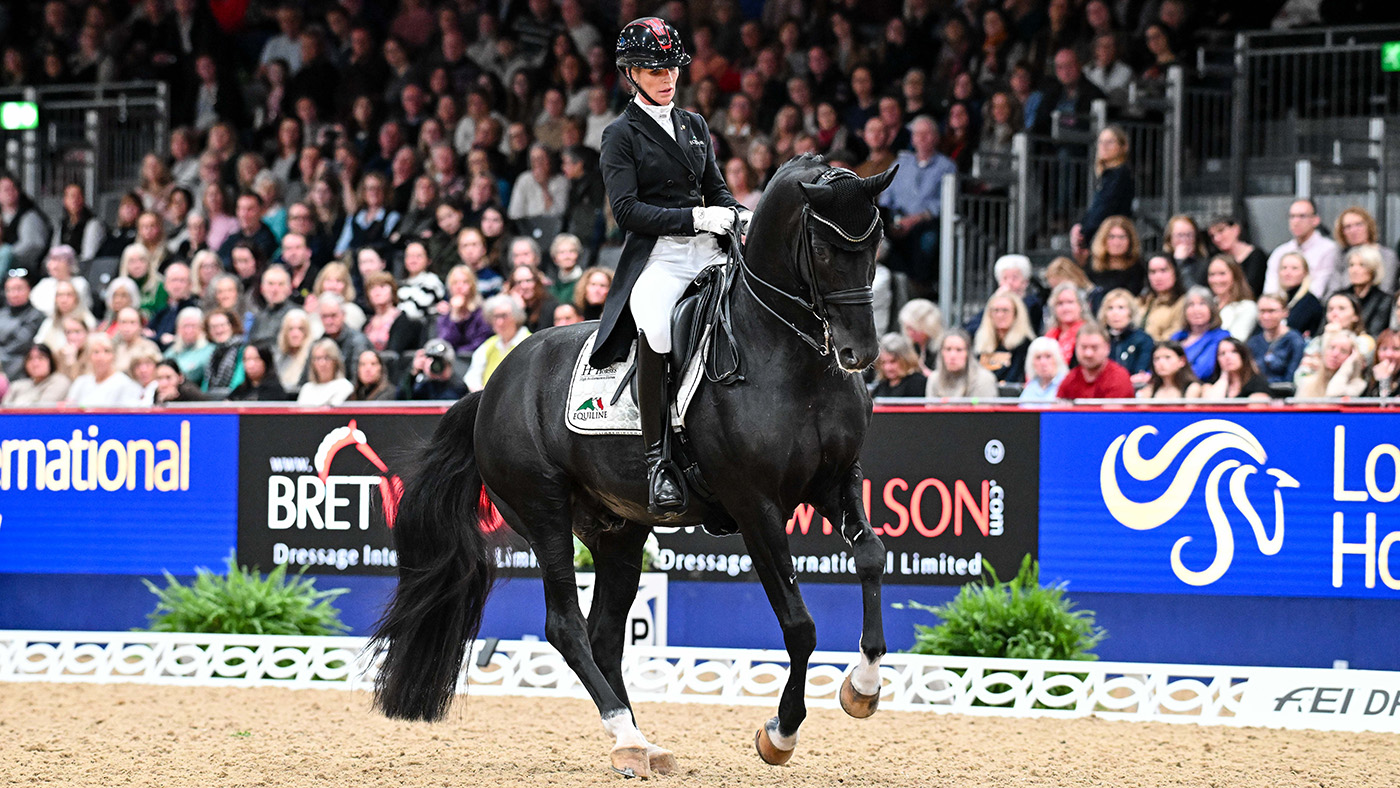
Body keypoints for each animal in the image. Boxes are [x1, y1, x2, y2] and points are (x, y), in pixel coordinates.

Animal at [370, 153, 898, 778]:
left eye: (875, 241)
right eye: (820, 246)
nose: (860, 354)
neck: (788, 356)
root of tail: (494, 386)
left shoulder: (836, 480)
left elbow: (871, 556)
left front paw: (863, 688)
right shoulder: (756, 505)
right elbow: (799, 624)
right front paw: (781, 732)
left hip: (617, 529)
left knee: (603, 634)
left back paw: (641, 746)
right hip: (544, 511)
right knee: (566, 627)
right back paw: (626, 734)